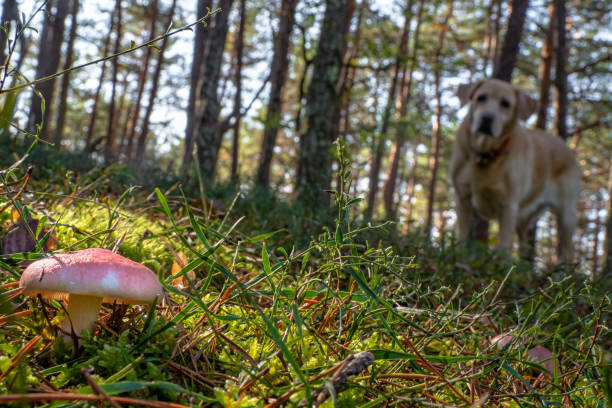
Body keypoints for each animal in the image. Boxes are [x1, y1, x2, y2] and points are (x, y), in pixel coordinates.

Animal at [452, 79, 580, 262]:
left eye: (505, 103)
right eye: (481, 97)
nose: (487, 118)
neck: (486, 154)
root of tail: (566, 147)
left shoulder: (508, 206)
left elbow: (504, 246)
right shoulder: (462, 197)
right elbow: (462, 235)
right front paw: (459, 257)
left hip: (566, 215)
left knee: (568, 250)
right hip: (523, 219)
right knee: (525, 245)